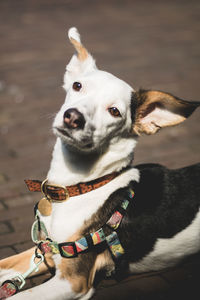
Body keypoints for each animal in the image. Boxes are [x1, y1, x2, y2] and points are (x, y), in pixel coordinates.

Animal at [0, 27, 200, 298]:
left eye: (114, 111)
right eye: (77, 86)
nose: (73, 117)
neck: (76, 188)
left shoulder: (72, 280)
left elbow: (20, 294)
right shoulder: (45, 250)